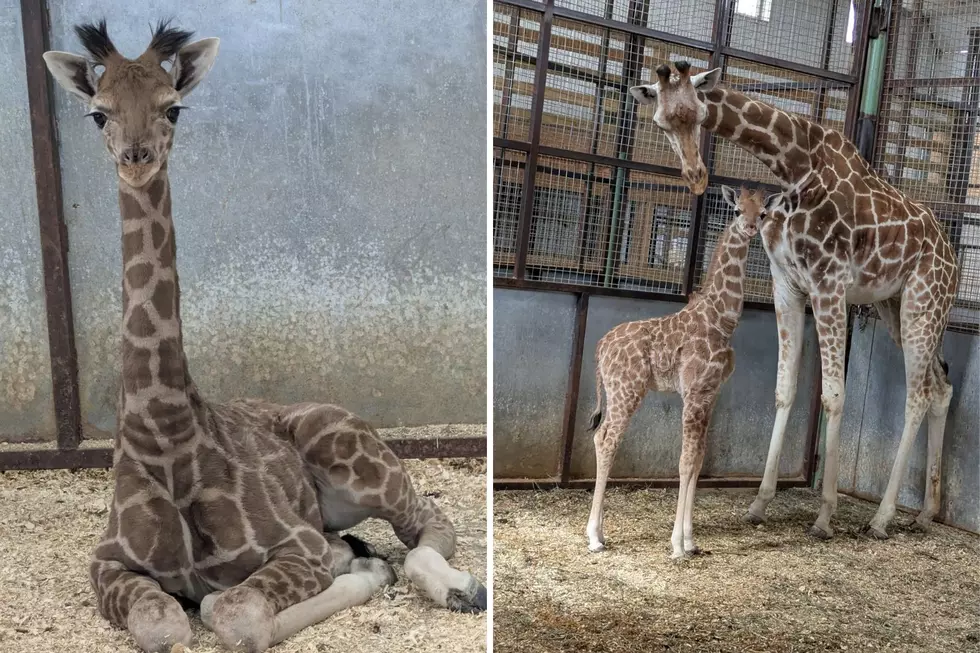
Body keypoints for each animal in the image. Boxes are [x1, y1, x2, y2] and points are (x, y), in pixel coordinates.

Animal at [43, 20, 485, 653]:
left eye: (173, 107)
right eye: (98, 113)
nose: (137, 158)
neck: (165, 436)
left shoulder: (294, 545)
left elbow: (230, 613)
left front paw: (366, 568)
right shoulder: (107, 563)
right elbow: (164, 625)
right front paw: (356, 559)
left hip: (359, 460)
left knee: (425, 521)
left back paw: (458, 586)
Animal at [586, 185, 769, 558]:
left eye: (763, 213)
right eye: (738, 209)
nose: (750, 228)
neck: (722, 320)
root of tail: (600, 347)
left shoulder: (710, 395)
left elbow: (698, 461)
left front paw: (691, 539)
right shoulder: (694, 393)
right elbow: (685, 461)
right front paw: (677, 545)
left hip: (616, 390)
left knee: (601, 436)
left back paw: (599, 533)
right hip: (628, 390)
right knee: (607, 439)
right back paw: (595, 537)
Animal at [628, 61, 958, 540]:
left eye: (698, 112)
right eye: (662, 122)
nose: (697, 177)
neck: (795, 165)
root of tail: (954, 259)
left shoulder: (829, 283)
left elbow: (834, 395)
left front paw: (824, 515)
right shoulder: (788, 284)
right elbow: (784, 389)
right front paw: (759, 502)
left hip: (924, 300)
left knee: (918, 394)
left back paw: (882, 518)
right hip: (897, 307)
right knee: (941, 386)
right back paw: (926, 512)